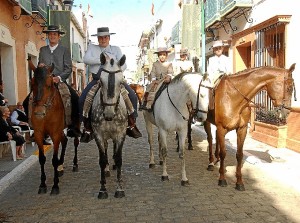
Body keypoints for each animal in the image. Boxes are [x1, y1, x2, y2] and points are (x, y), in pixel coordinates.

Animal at [30, 63, 79, 194]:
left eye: (49, 85)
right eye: (32, 84)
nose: (39, 113)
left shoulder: (55, 134)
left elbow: (54, 160)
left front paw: (55, 186)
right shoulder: (38, 134)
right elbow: (42, 158)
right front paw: (42, 185)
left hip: (75, 125)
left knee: (75, 142)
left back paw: (74, 164)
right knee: (65, 140)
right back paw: (60, 167)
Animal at [89, 52, 126, 199]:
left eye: (121, 82)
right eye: (100, 81)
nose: (109, 114)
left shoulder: (121, 133)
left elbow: (119, 158)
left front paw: (119, 189)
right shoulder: (98, 134)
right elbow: (102, 159)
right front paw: (103, 189)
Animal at [202, 63, 296, 191]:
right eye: (289, 88)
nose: (287, 112)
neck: (234, 97)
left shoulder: (242, 129)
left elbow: (239, 154)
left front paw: (239, 182)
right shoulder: (222, 128)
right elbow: (223, 153)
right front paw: (222, 179)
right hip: (205, 121)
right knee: (210, 139)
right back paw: (210, 162)